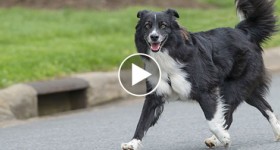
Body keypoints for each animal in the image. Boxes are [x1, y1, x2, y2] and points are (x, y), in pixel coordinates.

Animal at [121, 0, 278, 149]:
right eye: (147, 26)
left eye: (163, 25)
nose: (154, 37)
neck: (168, 54)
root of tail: (243, 32)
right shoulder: (155, 95)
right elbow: (142, 122)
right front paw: (132, 143)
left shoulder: (206, 92)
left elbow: (212, 121)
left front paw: (224, 138)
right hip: (245, 89)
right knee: (265, 106)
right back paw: (277, 132)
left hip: (232, 88)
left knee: (229, 115)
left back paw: (218, 139)